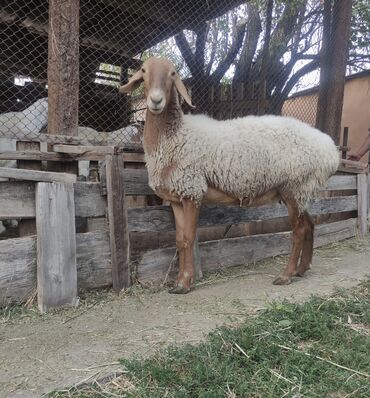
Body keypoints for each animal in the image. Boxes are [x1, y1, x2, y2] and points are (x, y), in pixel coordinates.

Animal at [119, 58, 342, 296]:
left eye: (173, 73)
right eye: (143, 71)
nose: (156, 100)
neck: (174, 135)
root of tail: (331, 150)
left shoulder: (192, 190)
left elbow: (189, 238)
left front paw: (186, 283)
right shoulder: (177, 197)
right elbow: (180, 240)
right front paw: (179, 283)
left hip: (295, 186)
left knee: (298, 231)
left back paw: (286, 275)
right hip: (301, 191)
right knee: (310, 224)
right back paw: (302, 269)